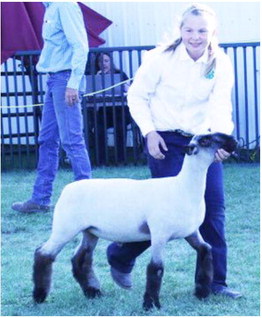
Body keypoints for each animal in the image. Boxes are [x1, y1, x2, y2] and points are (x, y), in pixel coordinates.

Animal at [32, 132, 237, 310]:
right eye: (205, 141)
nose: (233, 141)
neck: (184, 188)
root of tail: (67, 188)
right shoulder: (159, 234)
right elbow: (156, 269)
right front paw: (151, 305)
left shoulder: (192, 232)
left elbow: (206, 251)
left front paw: (202, 293)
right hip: (64, 228)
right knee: (43, 254)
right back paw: (39, 296)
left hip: (90, 231)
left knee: (80, 259)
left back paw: (93, 292)